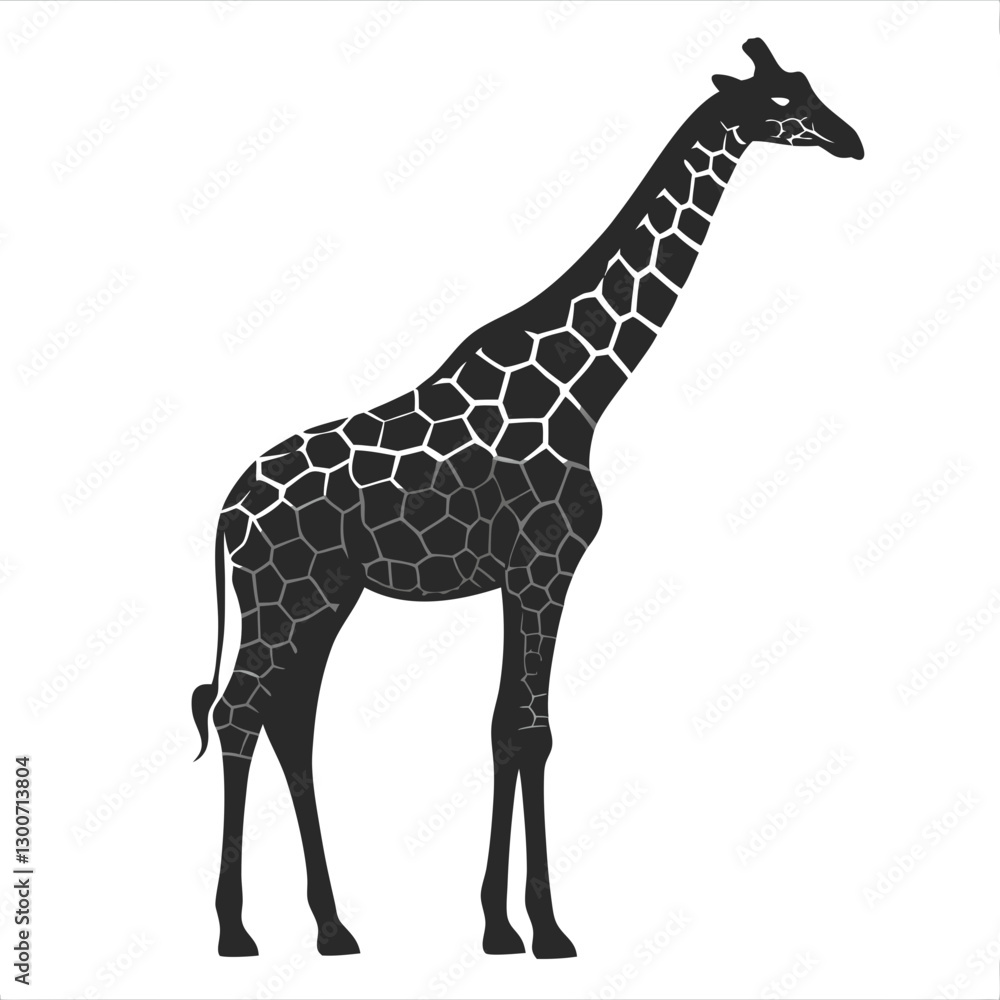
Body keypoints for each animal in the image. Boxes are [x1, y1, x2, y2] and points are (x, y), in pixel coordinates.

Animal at [192, 38, 863, 959]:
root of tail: (226, 508)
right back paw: (234, 933)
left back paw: (332, 927)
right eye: (782, 102)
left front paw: (501, 925)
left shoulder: (523, 574)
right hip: (280, 593)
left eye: (806, 85)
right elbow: (531, 730)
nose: (850, 141)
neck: (581, 391)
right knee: (237, 713)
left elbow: (507, 727)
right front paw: (544, 929)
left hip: (324, 597)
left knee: (289, 721)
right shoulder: (546, 564)